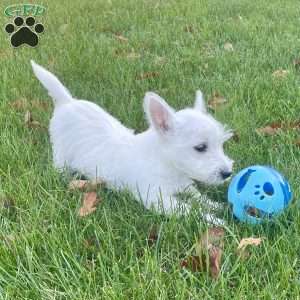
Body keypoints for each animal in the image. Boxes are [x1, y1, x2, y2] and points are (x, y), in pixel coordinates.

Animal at [31, 60, 233, 220]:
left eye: (221, 144)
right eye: (200, 147)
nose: (228, 173)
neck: (167, 165)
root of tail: (67, 101)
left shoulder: (184, 185)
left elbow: (199, 197)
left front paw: (219, 206)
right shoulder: (159, 200)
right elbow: (190, 210)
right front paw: (218, 221)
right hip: (61, 155)